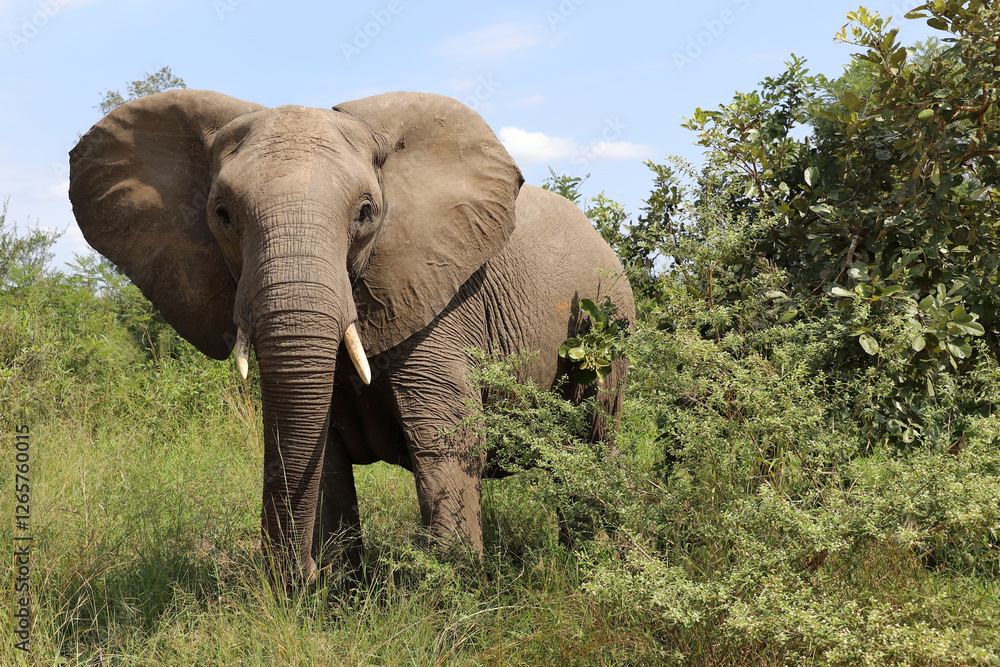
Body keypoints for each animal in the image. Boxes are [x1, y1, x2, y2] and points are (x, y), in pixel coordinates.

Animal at [68, 89, 635, 585]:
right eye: (222, 215)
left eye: (365, 213)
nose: (296, 575)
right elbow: (323, 456)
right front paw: (338, 594)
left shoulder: (441, 302)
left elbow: (446, 441)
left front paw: (453, 598)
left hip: (608, 320)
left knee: (594, 439)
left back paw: (593, 565)